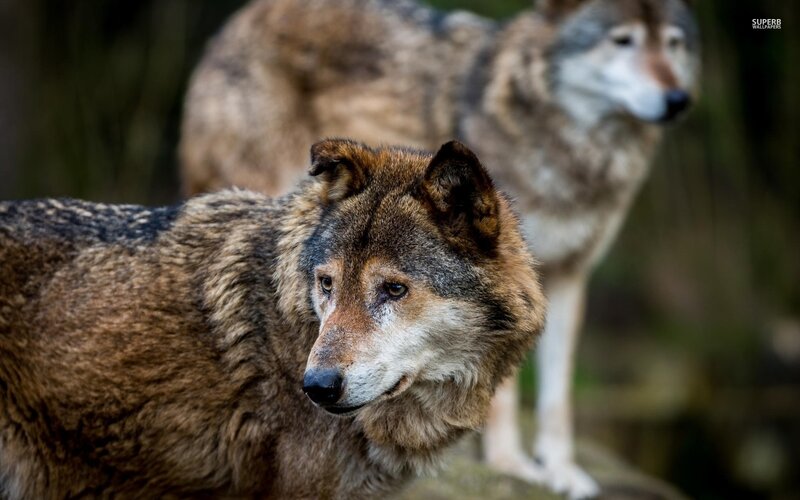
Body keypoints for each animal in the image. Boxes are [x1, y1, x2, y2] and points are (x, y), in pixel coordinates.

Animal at [179, 0, 700, 496]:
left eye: (673, 44)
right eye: (623, 40)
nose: (678, 100)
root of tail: (242, 18)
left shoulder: (569, 274)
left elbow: (557, 393)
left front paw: (561, 472)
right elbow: (503, 393)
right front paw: (509, 466)